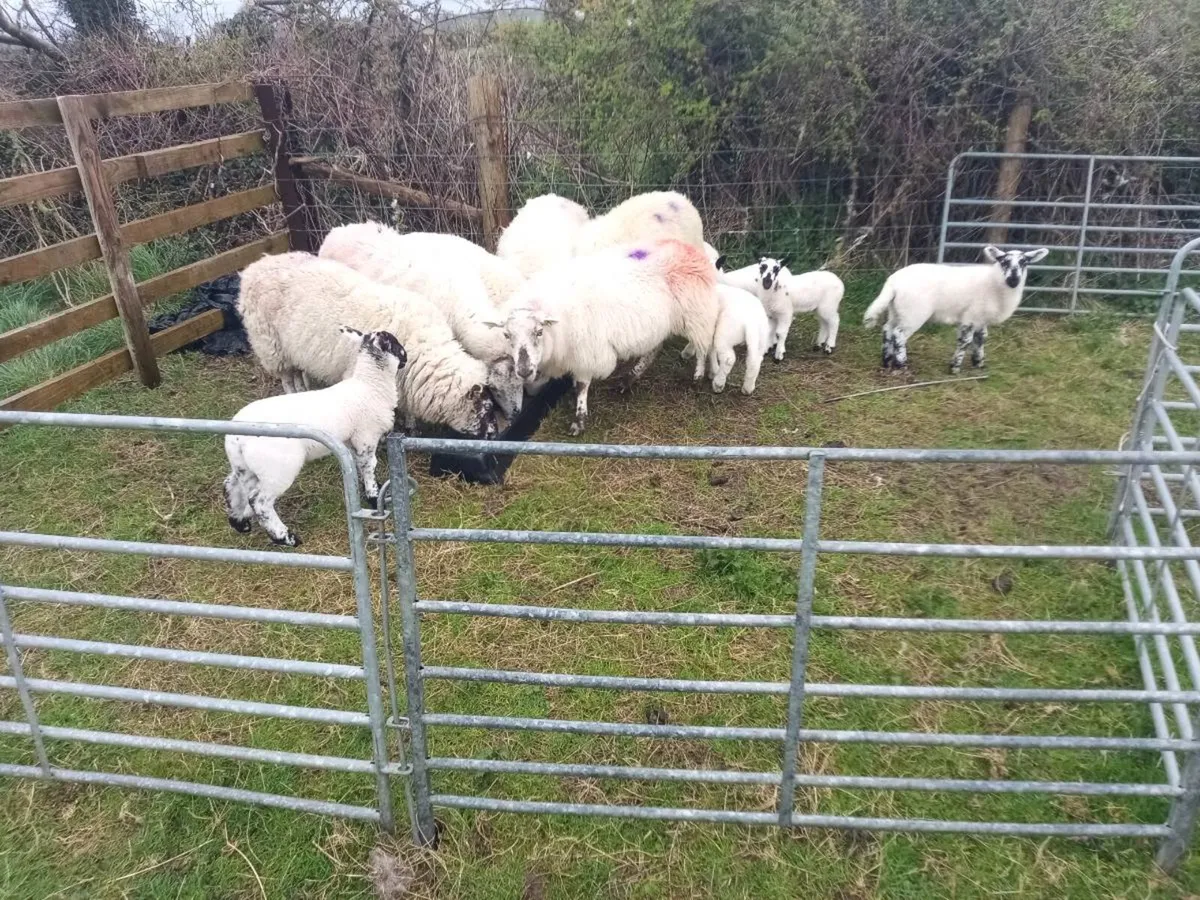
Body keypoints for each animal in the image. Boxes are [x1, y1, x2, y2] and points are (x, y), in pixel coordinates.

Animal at [224, 328, 405, 546]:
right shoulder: (366, 436)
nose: (406, 359)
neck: (370, 385)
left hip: (244, 466)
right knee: (259, 501)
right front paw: (373, 495)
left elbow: (358, 465)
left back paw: (239, 522)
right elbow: (369, 466)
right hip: (277, 468)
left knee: (232, 486)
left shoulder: (350, 440)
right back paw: (285, 537)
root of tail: (235, 438)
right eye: (396, 344)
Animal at [238, 252, 501, 439]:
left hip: (293, 348)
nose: (494, 435)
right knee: (286, 377)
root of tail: (255, 266)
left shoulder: (405, 380)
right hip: (270, 345)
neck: (424, 346)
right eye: (486, 408)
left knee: (298, 371)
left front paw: (411, 426)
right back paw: (293, 397)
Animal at [506, 239, 720, 434]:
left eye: (539, 331)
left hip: (696, 313)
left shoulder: (587, 352)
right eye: (507, 335)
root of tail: (689, 248)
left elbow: (582, 386)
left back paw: (698, 375)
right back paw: (629, 378)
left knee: (702, 345)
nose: (523, 371)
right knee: (654, 350)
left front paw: (579, 420)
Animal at [863, 245, 1050, 373]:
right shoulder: (970, 316)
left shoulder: (980, 318)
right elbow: (965, 340)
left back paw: (887, 361)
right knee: (899, 334)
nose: (1013, 280)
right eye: (1003, 261)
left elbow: (981, 338)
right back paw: (901, 364)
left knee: (887, 329)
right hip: (913, 313)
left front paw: (978, 364)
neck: (994, 283)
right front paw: (955, 368)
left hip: (896, 309)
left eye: (1024, 262)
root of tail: (893, 282)